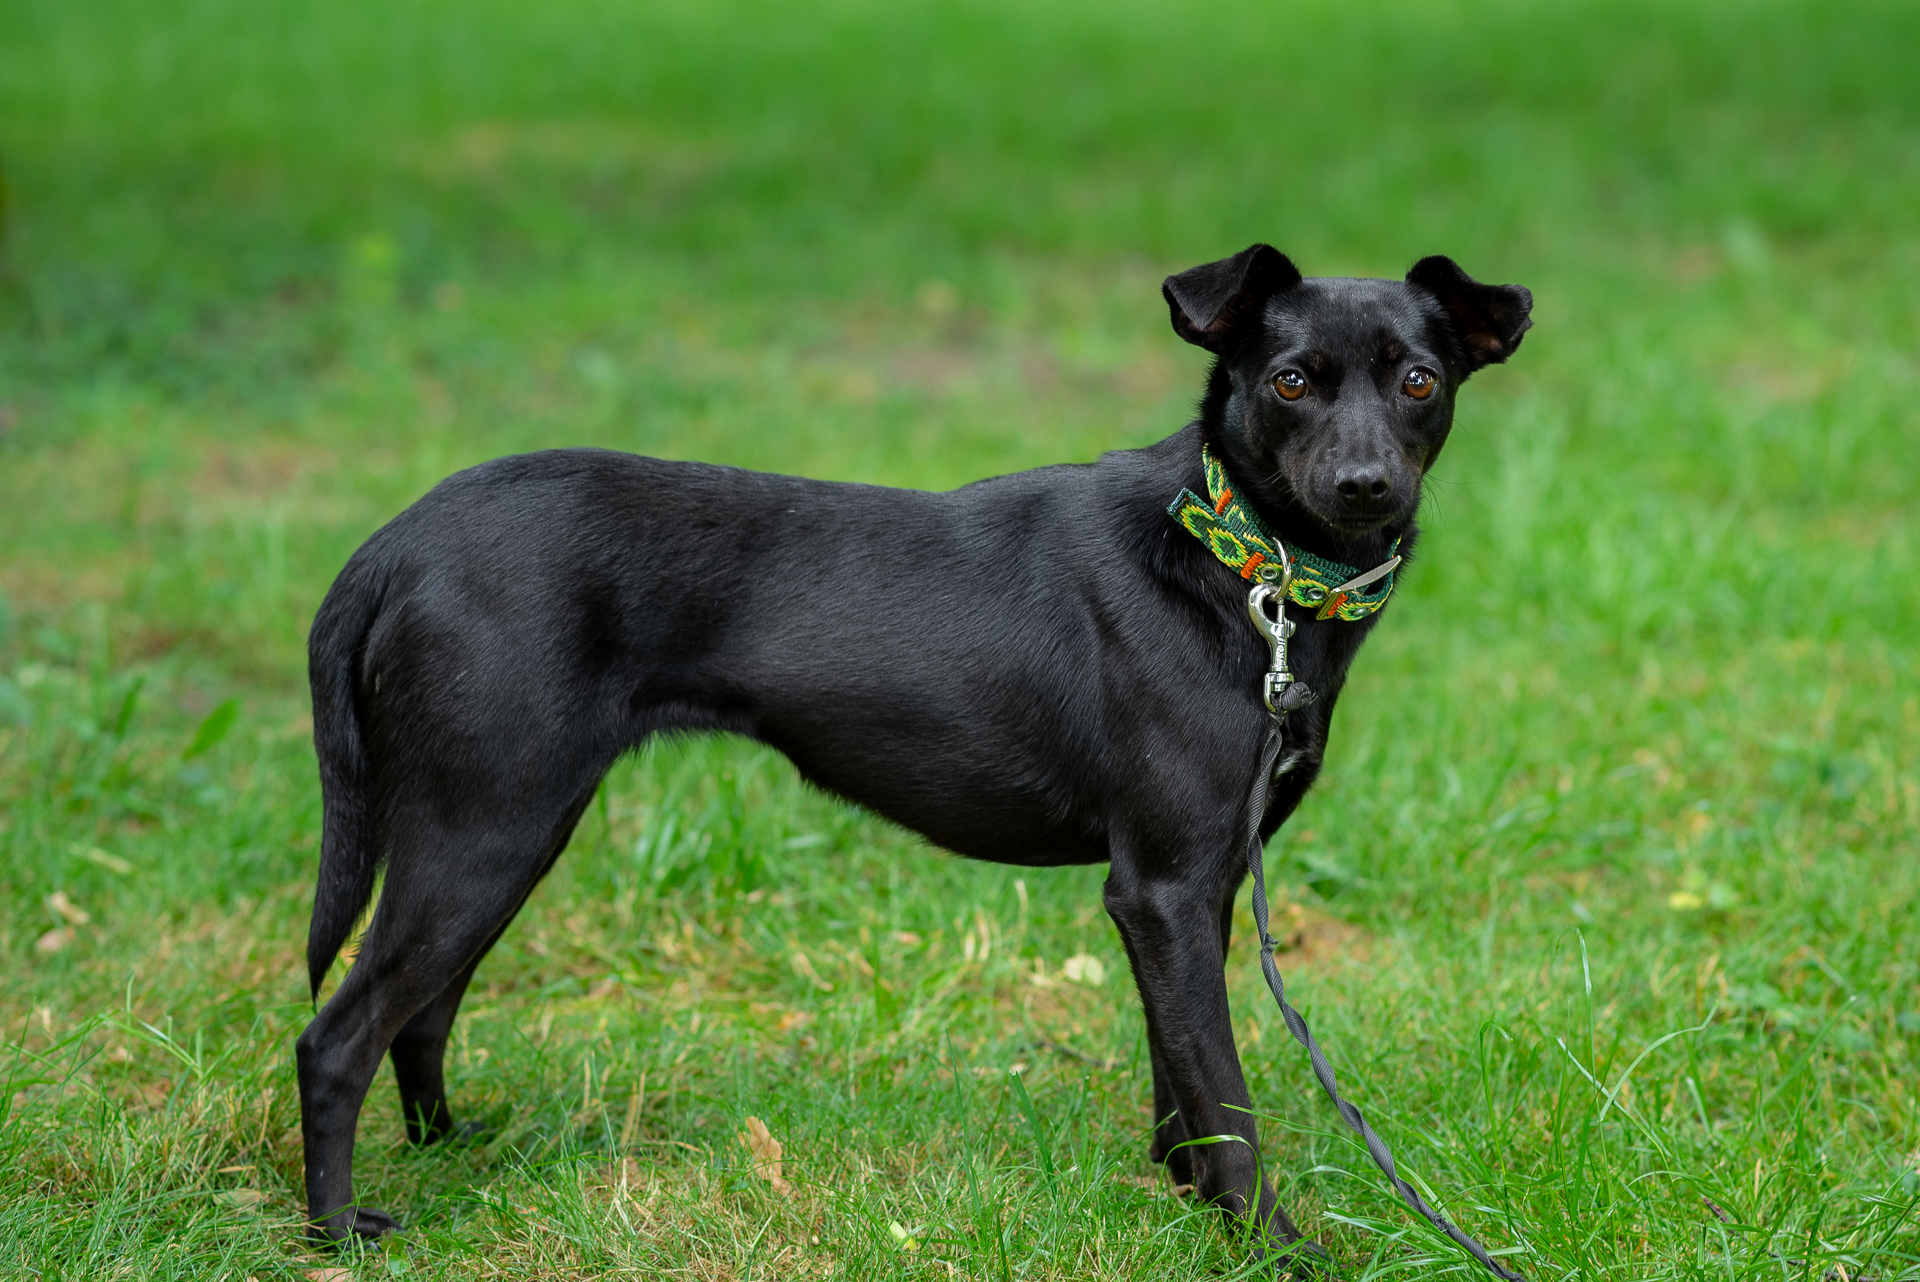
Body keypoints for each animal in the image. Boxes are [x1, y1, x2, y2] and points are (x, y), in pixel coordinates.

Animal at [295, 245, 1528, 1258]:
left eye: (1419, 381)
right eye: (1289, 382)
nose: (1365, 486)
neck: (1243, 568)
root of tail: (401, 540)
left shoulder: (1197, 886)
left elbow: (1179, 1080)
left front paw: (1182, 1207)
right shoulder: (1165, 888)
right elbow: (1225, 1100)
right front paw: (1270, 1249)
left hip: (501, 828)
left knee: (424, 1011)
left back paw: (453, 1149)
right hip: (485, 825)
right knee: (338, 1036)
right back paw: (339, 1229)